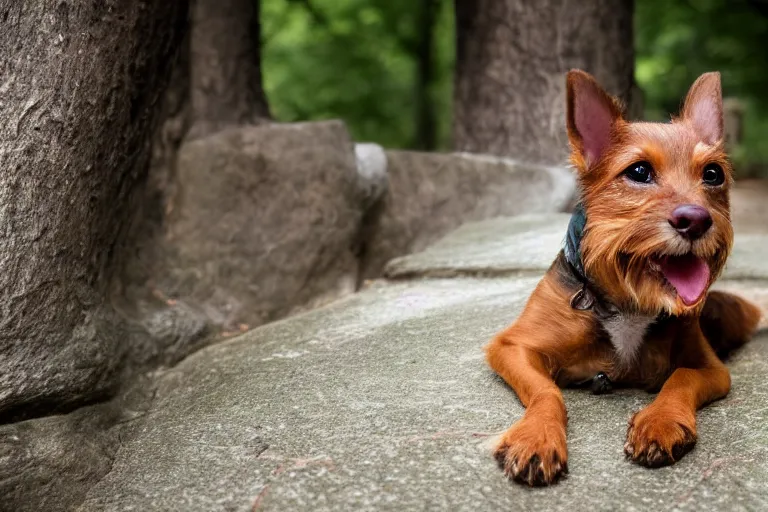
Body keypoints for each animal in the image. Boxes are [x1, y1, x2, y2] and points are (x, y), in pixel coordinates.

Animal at [486, 70, 760, 486]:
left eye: (712, 174)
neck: (630, 300)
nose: (696, 220)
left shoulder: (711, 369)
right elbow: (546, 391)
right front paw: (537, 436)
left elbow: (681, 376)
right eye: (638, 171)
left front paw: (660, 421)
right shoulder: (511, 346)